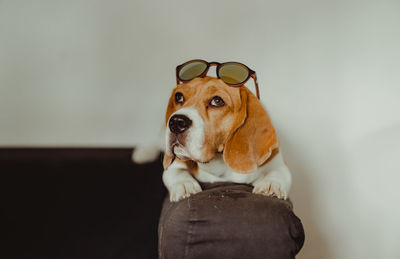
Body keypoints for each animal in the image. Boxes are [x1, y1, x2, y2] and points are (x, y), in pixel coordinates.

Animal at [133, 76, 292, 202]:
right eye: (179, 97)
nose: (176, 122)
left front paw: (271, 185)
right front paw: (185, 186)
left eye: (217, 101)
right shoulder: (174, 165)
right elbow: (176, 173)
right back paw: (142, 153)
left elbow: (279, 173)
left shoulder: (277, 162)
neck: (218, 163)